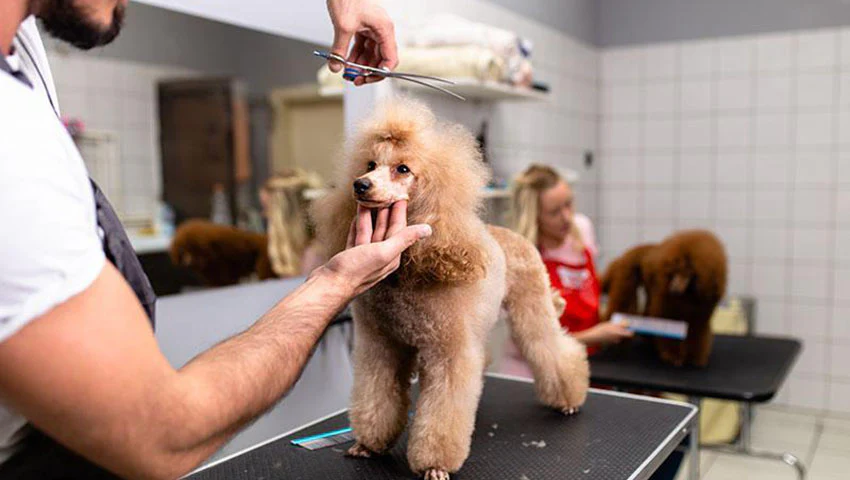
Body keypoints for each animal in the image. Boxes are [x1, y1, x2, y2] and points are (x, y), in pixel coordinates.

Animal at [308, 99, 588, 478]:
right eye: (370, 165)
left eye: (403, 169)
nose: (360, 185)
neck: (410, 269)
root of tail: (516, 237)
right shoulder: (381, 345)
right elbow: (376, 394)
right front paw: (368, 443)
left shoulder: (448, 352)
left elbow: (442, 412)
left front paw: (435, 465)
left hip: (531, 307)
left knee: (551, 348)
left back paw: (569, 398)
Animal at [600, 231, 724, 366]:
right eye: (675, 271)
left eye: (687, 273)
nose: (674, 289)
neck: (689, 293)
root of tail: (628, 253)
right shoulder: (667, 302)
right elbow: (669, 322)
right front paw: (673, 356)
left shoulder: (702, 308)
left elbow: (697, 330)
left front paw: (693, 358)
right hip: (626, 274)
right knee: (622, 305)